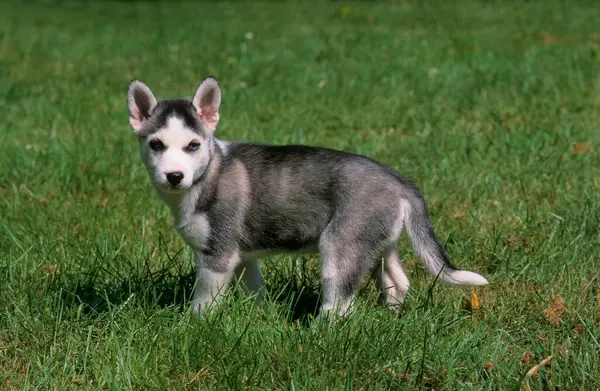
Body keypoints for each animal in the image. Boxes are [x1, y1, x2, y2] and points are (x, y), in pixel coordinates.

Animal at [126, 77, 488, 318]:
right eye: (156, 144)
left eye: (193, 146)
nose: (174, 176)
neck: (208, 173)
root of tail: (401, 183)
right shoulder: (242, 258)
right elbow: (256, 290)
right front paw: (264, 317)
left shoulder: (218, 256)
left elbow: (202, 302)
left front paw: (194, 326)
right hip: (379, 244)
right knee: (398, 280)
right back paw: (391, 316)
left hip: (341, 246)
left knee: (339, 303)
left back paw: (318, 334)